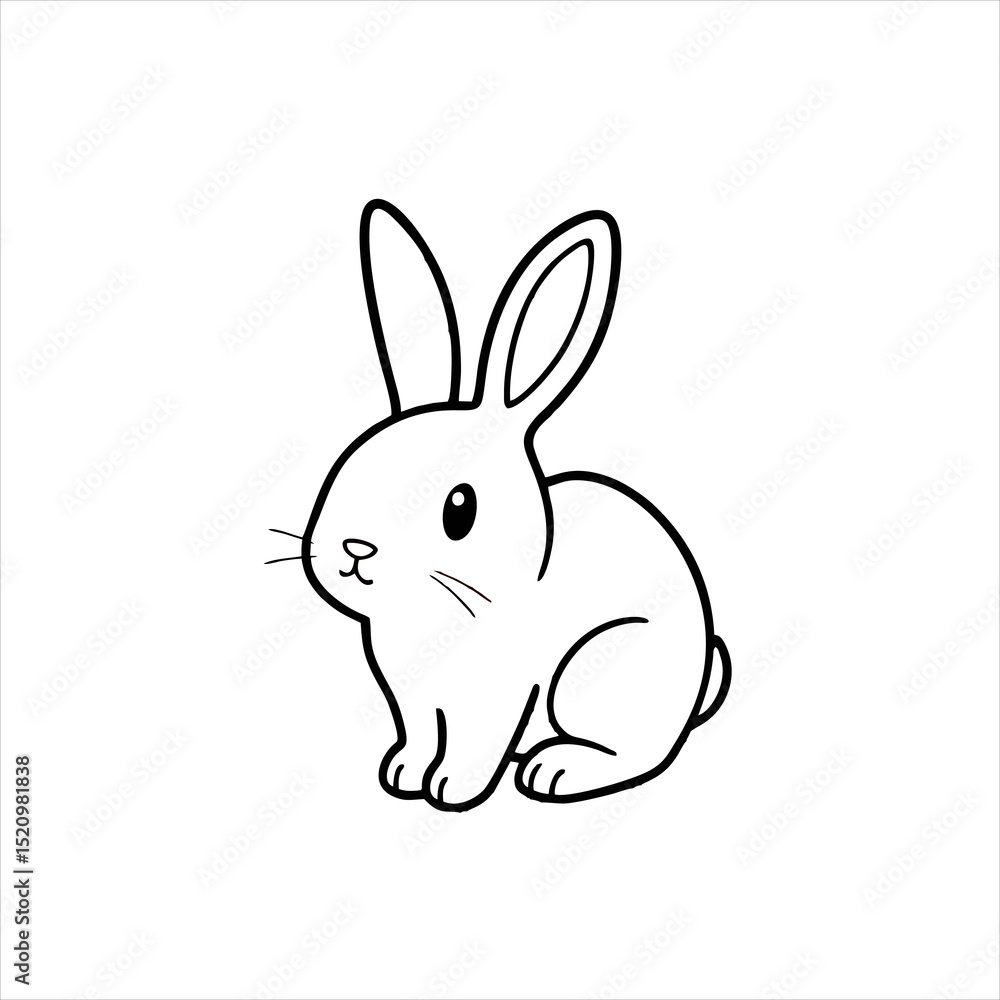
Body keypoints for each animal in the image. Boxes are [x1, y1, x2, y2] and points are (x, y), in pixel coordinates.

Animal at [298, 199, 730, 811]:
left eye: (459, 510)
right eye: (347, 467)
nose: (356, 550)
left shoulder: (497, 695)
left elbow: (474, 743)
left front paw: (451, 791)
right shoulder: (414, 701)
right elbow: (419, 734)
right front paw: (403, 775)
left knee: (633, 753)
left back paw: (556, 770)